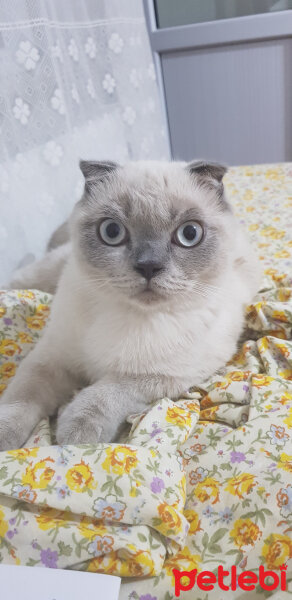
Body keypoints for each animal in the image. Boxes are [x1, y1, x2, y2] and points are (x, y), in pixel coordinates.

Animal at [0, 159, 260, 450]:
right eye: (112, 232)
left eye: (189, 234)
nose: (149, 266)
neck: (129, 315)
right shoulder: (51, 358)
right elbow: (22, 395)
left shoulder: (164, 375)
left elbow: (105, 391)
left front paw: (76, 435)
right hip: (47, 272)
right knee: (21, 279)